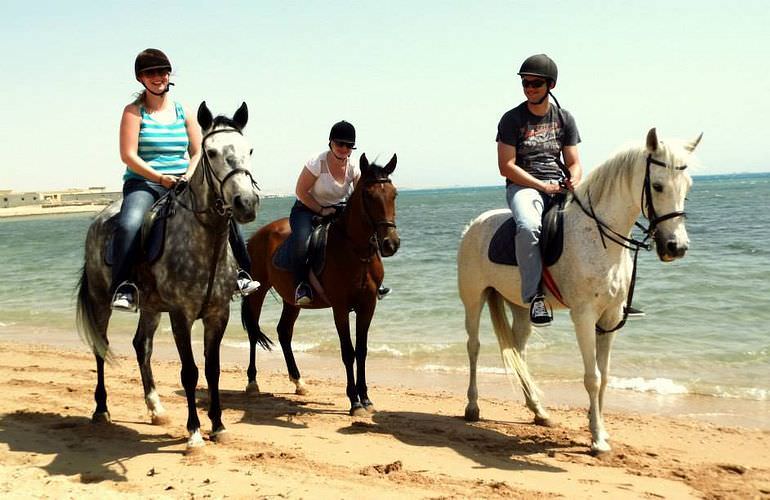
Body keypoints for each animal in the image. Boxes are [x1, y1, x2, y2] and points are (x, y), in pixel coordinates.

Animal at [76, 101, 260, 450]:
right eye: (211, 152)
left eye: (250, 150)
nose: (246, 202)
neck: (204, 240)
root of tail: (97, 219)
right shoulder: (180, 315)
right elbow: (190, 372)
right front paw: (194, 434)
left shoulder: (218, 313)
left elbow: (213, 370)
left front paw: (218, 425)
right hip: (101, 301)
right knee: (100, 347)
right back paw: (101, 409)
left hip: (149, 307)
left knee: (141, 346)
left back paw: (156, 409)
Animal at [242, 154, 400, 416]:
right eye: (368, 195)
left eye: (394, 194)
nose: (390, 243)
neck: (355, 251)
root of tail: (256, 236)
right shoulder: (340, 307)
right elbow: (348, 352)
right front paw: (354, 401)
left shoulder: (368, 305)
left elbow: (362, 351)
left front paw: (366, 398)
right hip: (258, 291)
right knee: (254, 331)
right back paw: (252, 383)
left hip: (291, 300)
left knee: (284, 332)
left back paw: (299, 382)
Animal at [460, 128, 700, 454]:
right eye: (657, 185)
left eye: (687, 186)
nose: (676, 247)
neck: (600, 237)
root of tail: (475, 224)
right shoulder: (584, 316)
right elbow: (592, 377)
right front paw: (597, 439)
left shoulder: (610, 317)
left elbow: (605, 376)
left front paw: (600, 428)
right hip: (473, 299)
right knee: (473, 347)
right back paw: (472, 407)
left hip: (520, 306)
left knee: (519, 351)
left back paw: (539, 411)